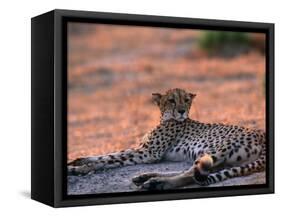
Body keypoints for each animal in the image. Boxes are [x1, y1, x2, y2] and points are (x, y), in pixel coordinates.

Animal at [68, 88, 264, 190]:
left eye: (186, 100)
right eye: (171, 100)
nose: (182, 110)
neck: (167, 118)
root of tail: (261, 135)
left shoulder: (148, 153)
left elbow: (111, 159)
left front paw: (80, 169)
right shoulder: (142, 148)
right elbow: (110, 154)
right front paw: (78, 161)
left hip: (215, 150)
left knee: (192, 174)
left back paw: (157, 183)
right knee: (195, 171)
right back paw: (146, 177)